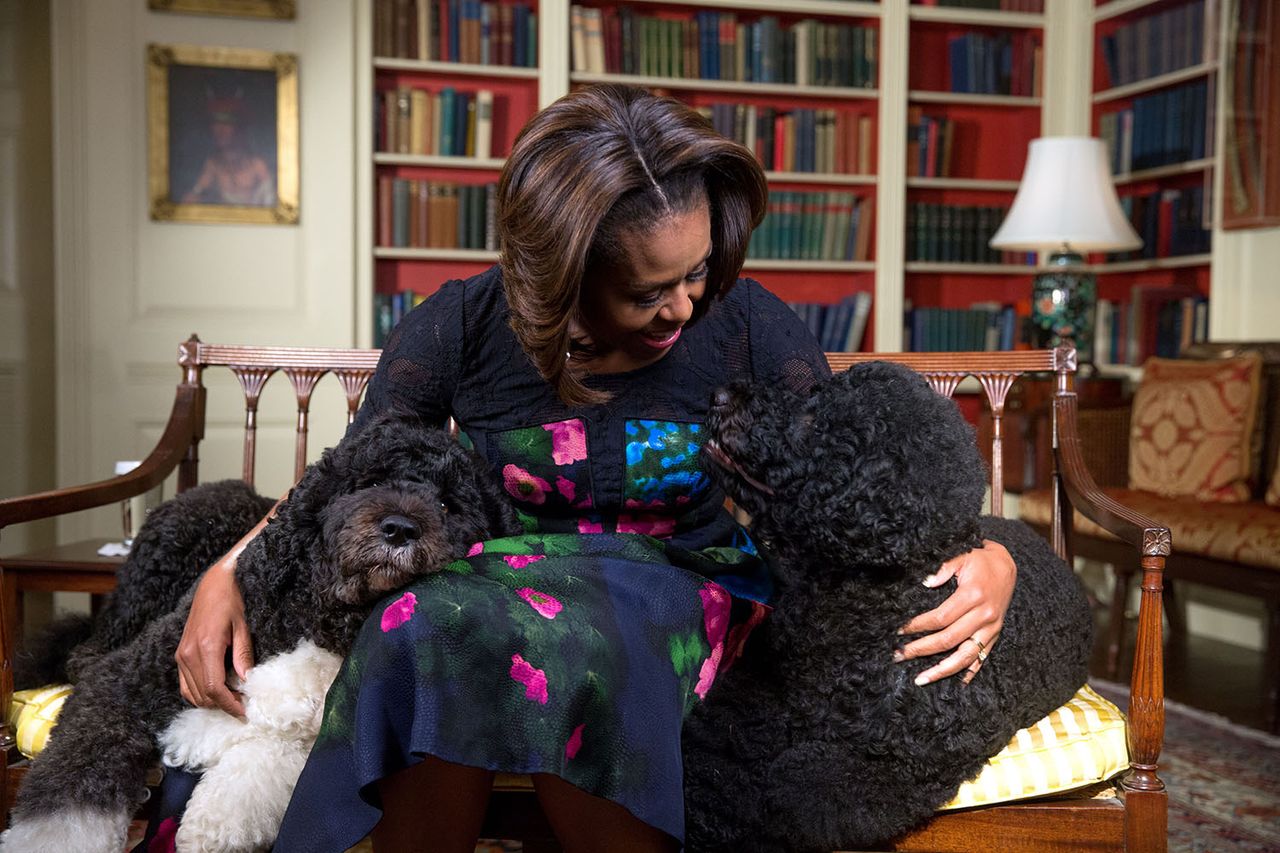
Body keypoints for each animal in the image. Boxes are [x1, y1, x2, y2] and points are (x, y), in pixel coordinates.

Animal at [6, 412, 514, 850]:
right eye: (370, 482)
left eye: (448, 504)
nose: (400, 528)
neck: (316, 614)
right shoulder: (124, 683)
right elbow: (71, 791)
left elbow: (265, 761)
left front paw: (214, 816)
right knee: (84, 650)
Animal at [686, 361, 1095, 850]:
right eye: (814, 393)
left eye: (815, 420)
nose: (718, 395)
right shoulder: (757, 698)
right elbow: (714, 763)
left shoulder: (902, 761)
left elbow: (789, 796)